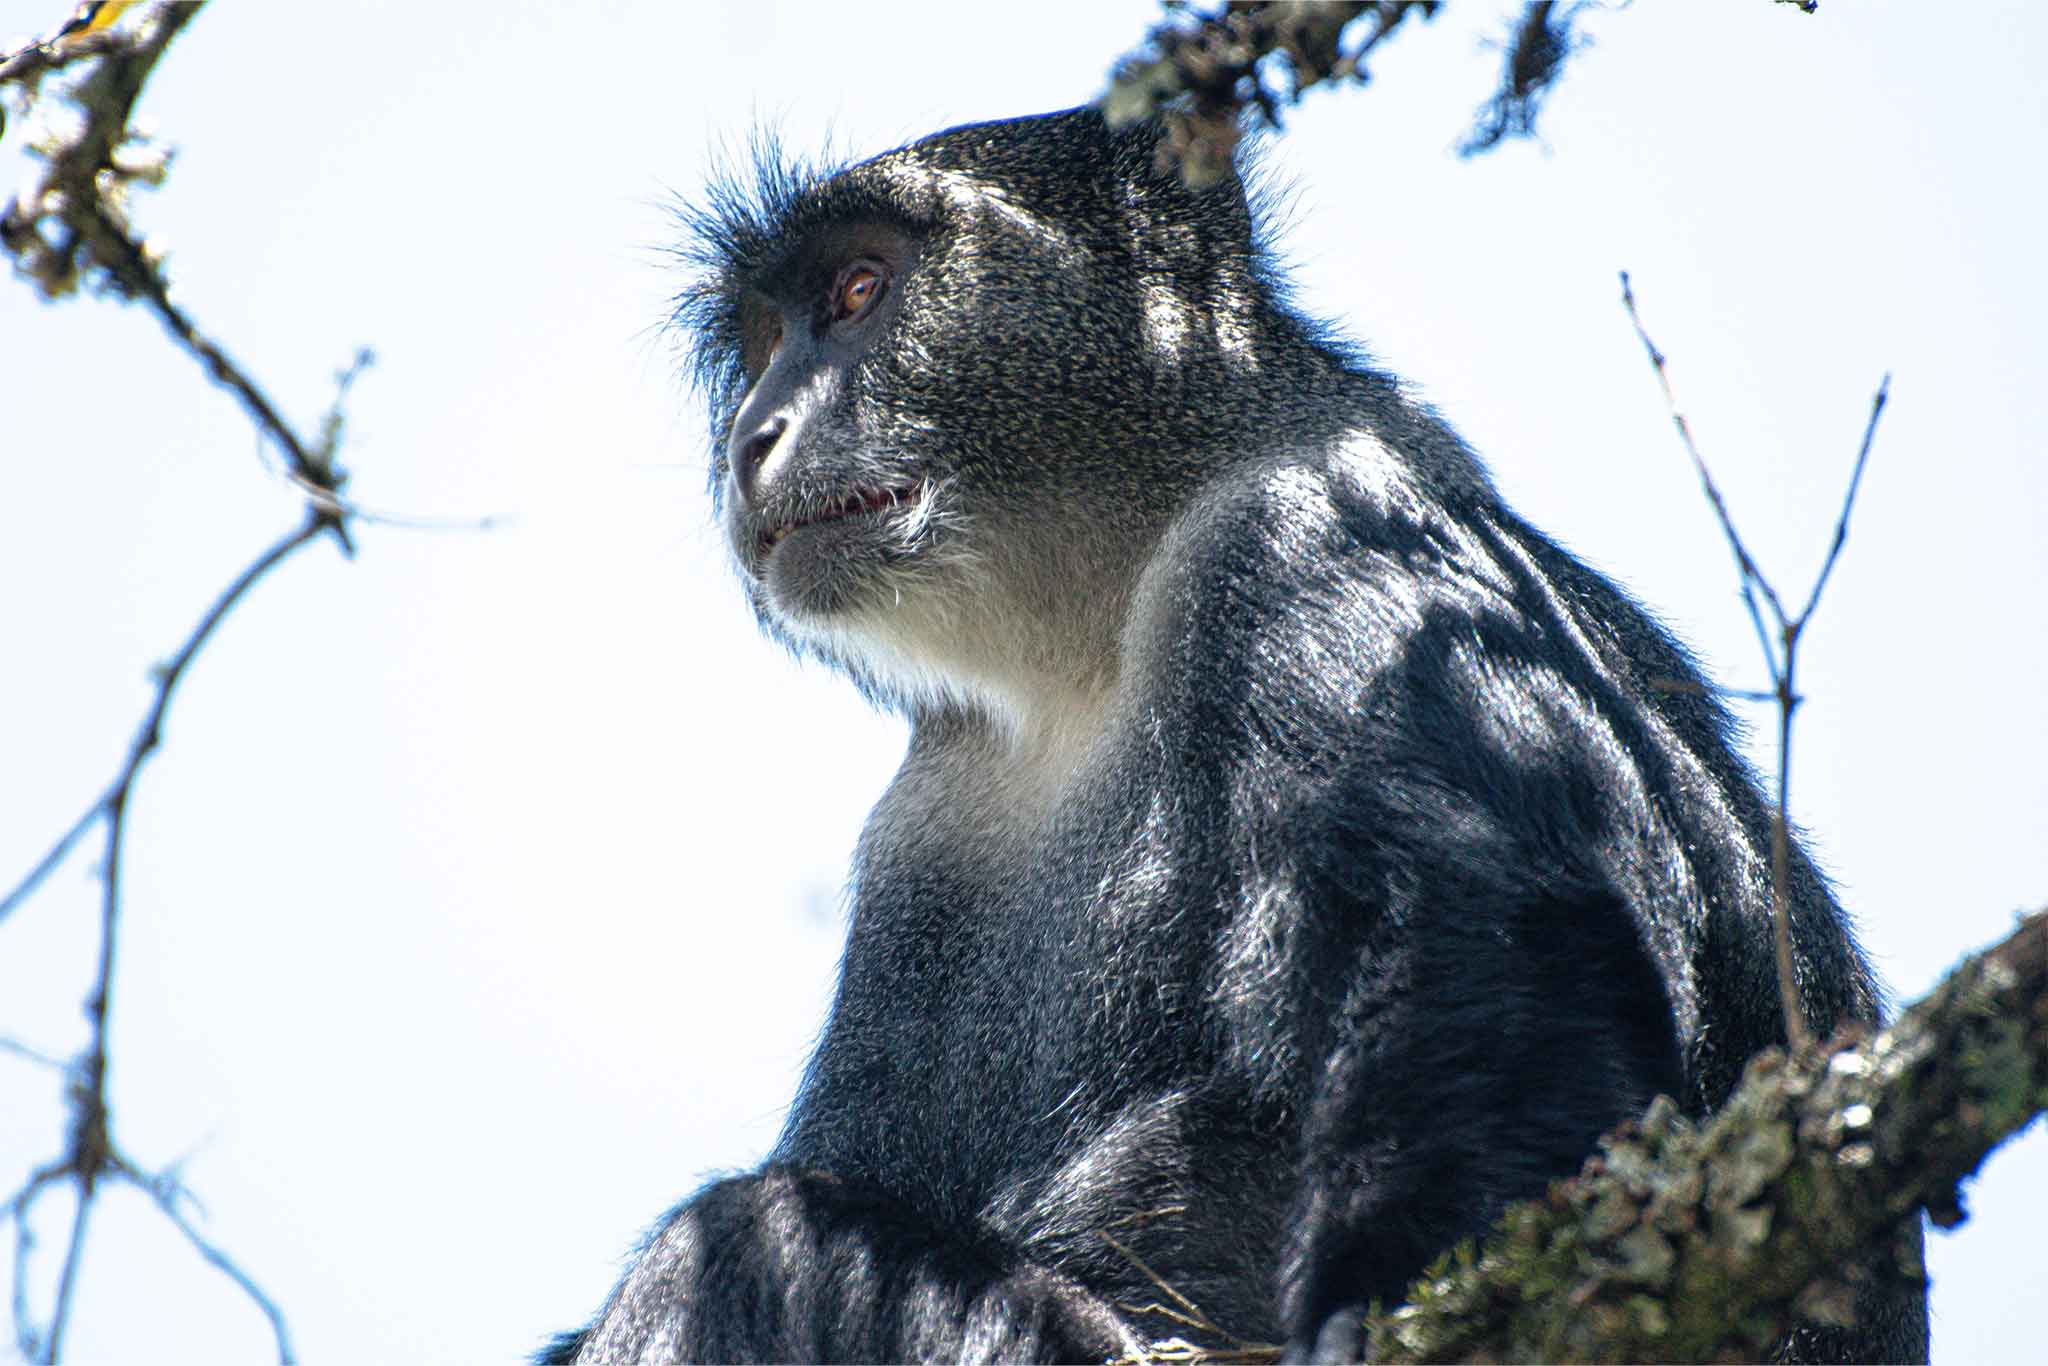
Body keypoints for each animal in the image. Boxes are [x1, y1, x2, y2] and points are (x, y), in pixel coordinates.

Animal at [542, 108, 1928, 1364]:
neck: (1088, 648)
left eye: (858, 290)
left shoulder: (1307, 524)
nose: (753, 436)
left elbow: (1498, 952)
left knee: (748, 1241)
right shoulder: (923, 823)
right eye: (763, 341)